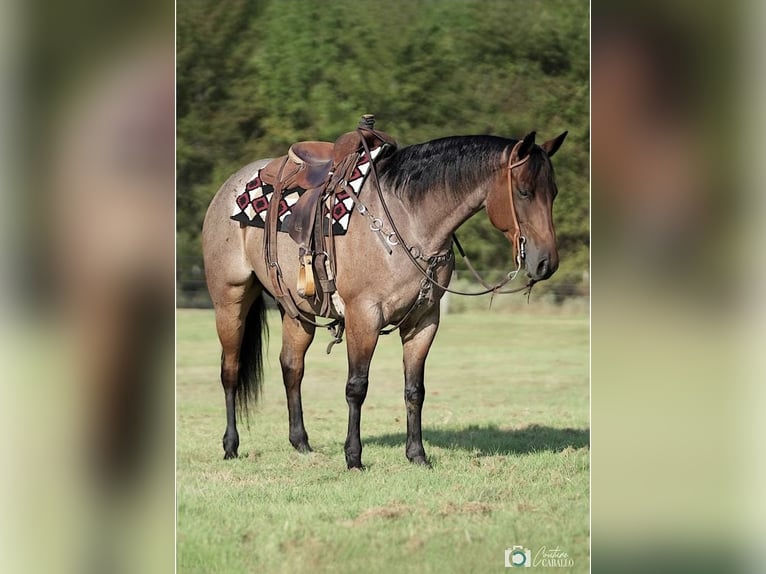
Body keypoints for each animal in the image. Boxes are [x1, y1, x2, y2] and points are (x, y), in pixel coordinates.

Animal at [204, 128, 568, 470]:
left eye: (554, 193)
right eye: (524, 191)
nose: (546, 263)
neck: (409, 219)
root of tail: (231, 186)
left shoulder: (424, 321)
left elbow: (415, 390)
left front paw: (417, 455)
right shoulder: (363, 317)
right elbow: (357, 387)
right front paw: (353, 457)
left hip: (295, 310)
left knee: (292, 366)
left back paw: (301, 443)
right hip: (230, 300)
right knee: (230, 370)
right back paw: (230, 445)